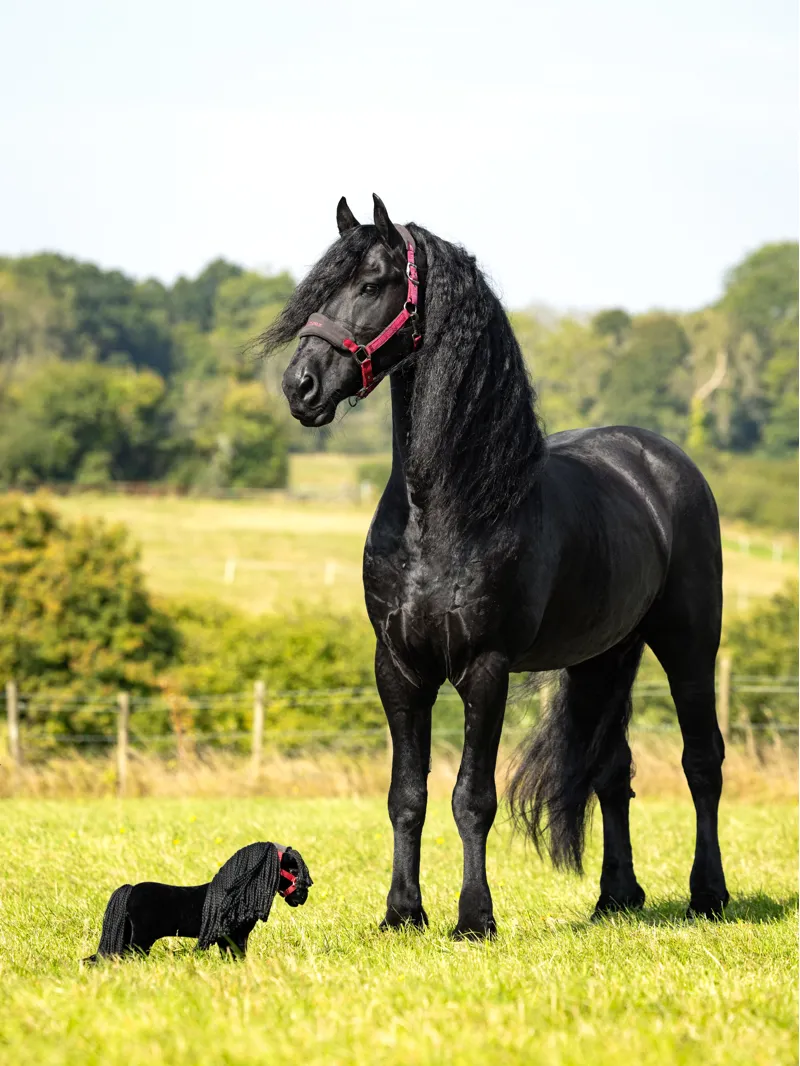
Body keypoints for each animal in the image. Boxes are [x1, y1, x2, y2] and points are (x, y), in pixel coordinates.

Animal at [262, 194, 729, 939]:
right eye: (316, 288)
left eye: (371, 283)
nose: (299, 387)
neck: (444, 508)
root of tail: (663, 461)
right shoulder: (398, 667)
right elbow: (407, 794)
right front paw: (402, 912)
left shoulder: (485, 667)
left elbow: (472, 797)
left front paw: (474, 917)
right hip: (604, 656)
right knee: (610, 769)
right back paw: (615, 898)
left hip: (688, 643)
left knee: (702, 761)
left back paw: (708, 894)